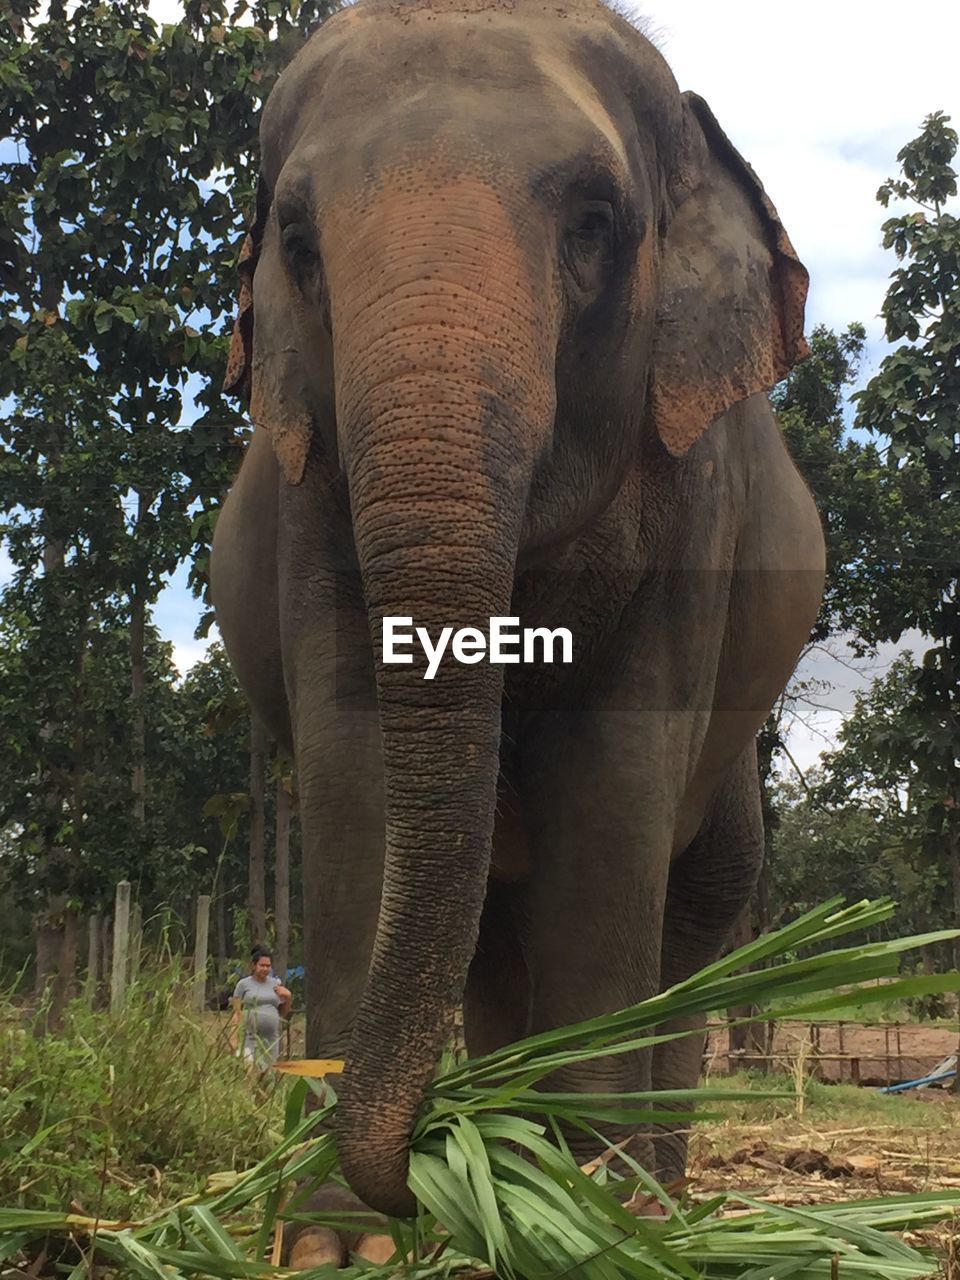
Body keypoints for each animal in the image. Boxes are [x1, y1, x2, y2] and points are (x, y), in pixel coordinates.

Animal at [209, 0, 829, 1239]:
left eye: (595, 223)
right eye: (298, 243)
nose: (412, 1169)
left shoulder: (696, 500)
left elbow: (614, 783)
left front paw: (587, 1215)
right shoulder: (312, 500)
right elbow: (351, 771)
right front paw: (338, 1238)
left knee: (699, 905)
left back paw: (654, 1189)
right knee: (496, 923)